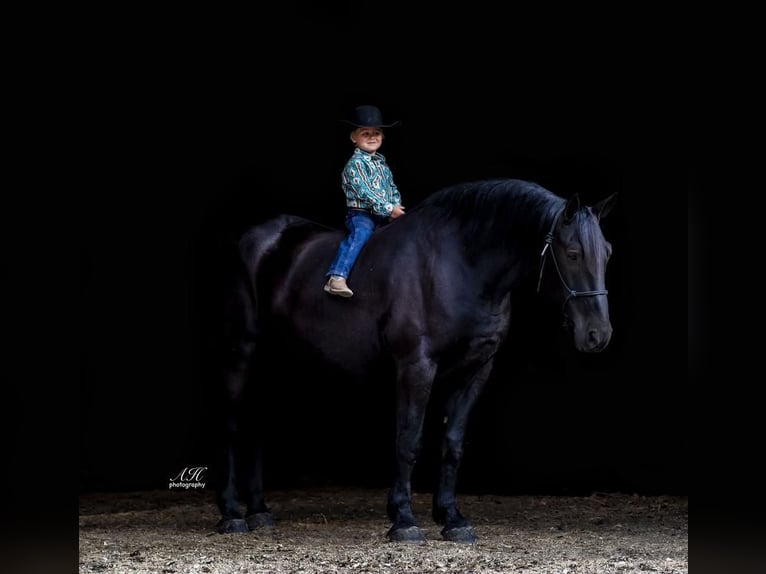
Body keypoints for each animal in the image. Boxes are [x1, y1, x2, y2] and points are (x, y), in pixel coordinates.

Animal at [214, 179, 616, 544]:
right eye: (573, 252)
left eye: (607, 253)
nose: (598, 334)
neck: (460, 264)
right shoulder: (416, 366)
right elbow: (409, 439)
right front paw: (404, 519)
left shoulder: (475, 370)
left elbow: (453, 443)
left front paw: (452, 518)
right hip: (242, 350)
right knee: (233, 426)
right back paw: (231, 514)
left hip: (276, 359)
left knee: (258, 424)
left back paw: (259, 512)